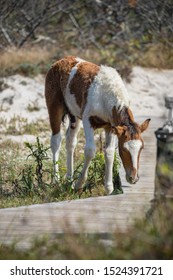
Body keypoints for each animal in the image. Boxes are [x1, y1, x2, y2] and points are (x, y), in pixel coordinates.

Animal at [44, 55, 150, 194]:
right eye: (124, 149)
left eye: (141, 148)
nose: (133, 178)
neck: (105, 96)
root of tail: (60, 61)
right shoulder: (88, 120)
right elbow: (90, 151)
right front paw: (79, 185)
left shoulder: (111, 126)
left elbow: (109, 152)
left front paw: (109, 188)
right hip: (55, 108)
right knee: (56, 141)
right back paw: (57, 180)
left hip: (75, 117)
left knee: (70, 142)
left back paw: (69, 180)